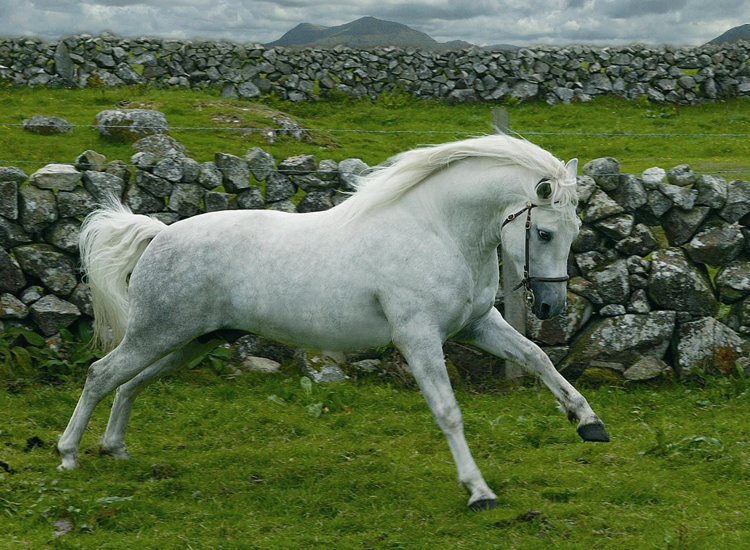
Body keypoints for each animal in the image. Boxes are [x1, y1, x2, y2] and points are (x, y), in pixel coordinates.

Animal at [57, 134, 609, 511]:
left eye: (577, 228)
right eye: (543, 232)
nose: (551, 308)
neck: (438, 230)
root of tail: (159, 234)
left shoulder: (477, 325)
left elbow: (537, 360)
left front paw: (589, 424)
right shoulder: (419, 337)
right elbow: (449, 411)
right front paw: (478, 491)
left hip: (190, 341)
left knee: (131, 383)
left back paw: (115, 449)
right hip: (159, 333)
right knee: (102, 374)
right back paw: (68, 455)